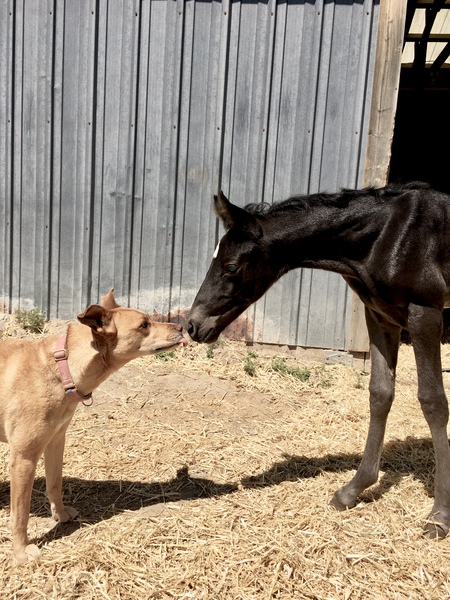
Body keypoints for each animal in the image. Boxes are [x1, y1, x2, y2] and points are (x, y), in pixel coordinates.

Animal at [0, 290, 187, 564]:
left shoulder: (56, 440)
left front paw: (61, 515)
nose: (182, 327)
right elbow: (20, 513)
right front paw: (21, 551)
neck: (62, 369)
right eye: (144, 325)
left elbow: (54, 484)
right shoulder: (23, 457)